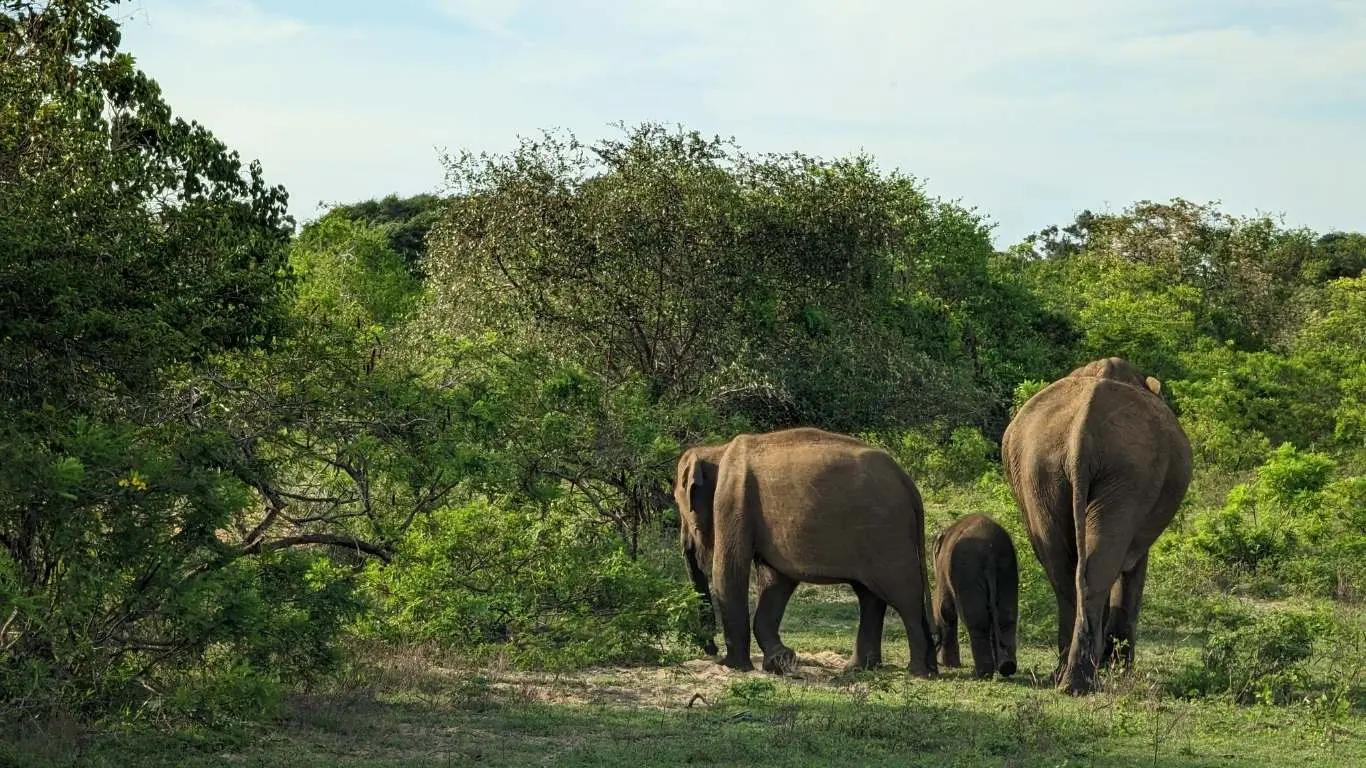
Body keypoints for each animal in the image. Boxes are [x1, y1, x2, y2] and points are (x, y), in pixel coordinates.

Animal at [672, 427, 938, 677]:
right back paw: (862, 668)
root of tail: (908, 483)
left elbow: (729, 573)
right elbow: (776, 581)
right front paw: (780, 660)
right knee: (869, 595)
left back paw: (918, 671)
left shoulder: (732, 502)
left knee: (903, 595)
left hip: (888, 534)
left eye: (680, 505)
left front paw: (734, 667)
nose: (711, 649)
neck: (716, 450)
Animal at [931, 513, 1019, 679]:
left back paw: (983, 673)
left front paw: (950, 665)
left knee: (977, 621)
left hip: (968, 572)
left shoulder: (943, 571)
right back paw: (1006, 667)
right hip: (1008, 572)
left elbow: (945, 609)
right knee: (1006, 618)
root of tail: (990, 553)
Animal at [1001, 357, 1191, 695]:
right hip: (1129, 474)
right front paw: (1119, 668)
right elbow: (1133, 566)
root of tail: (1082, 433)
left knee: (1065, 570)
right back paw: (1082, 682)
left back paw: (1065, 678)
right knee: (1098, 566)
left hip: (1040, 472)